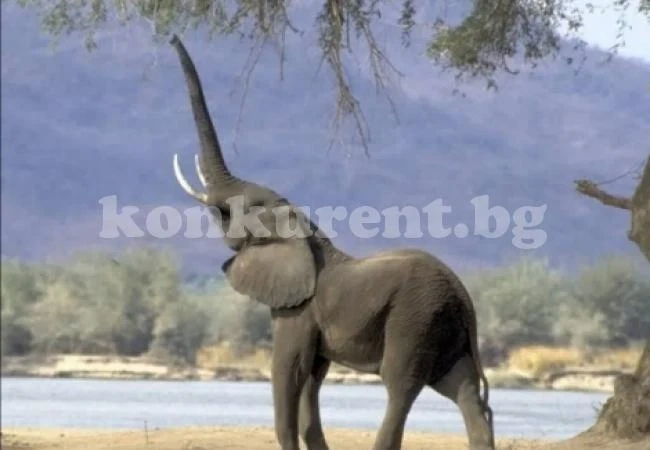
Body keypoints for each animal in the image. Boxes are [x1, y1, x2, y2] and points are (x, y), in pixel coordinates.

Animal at [167, 34, 496, 450]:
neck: (303, 230)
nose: (172, 37)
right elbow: (312, 377)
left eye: (242, 208)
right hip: (446, 329)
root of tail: (464, 298)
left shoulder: (299, 308)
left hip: (416, 317)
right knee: (462, 389)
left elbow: (289, 369)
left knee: (400, 385)